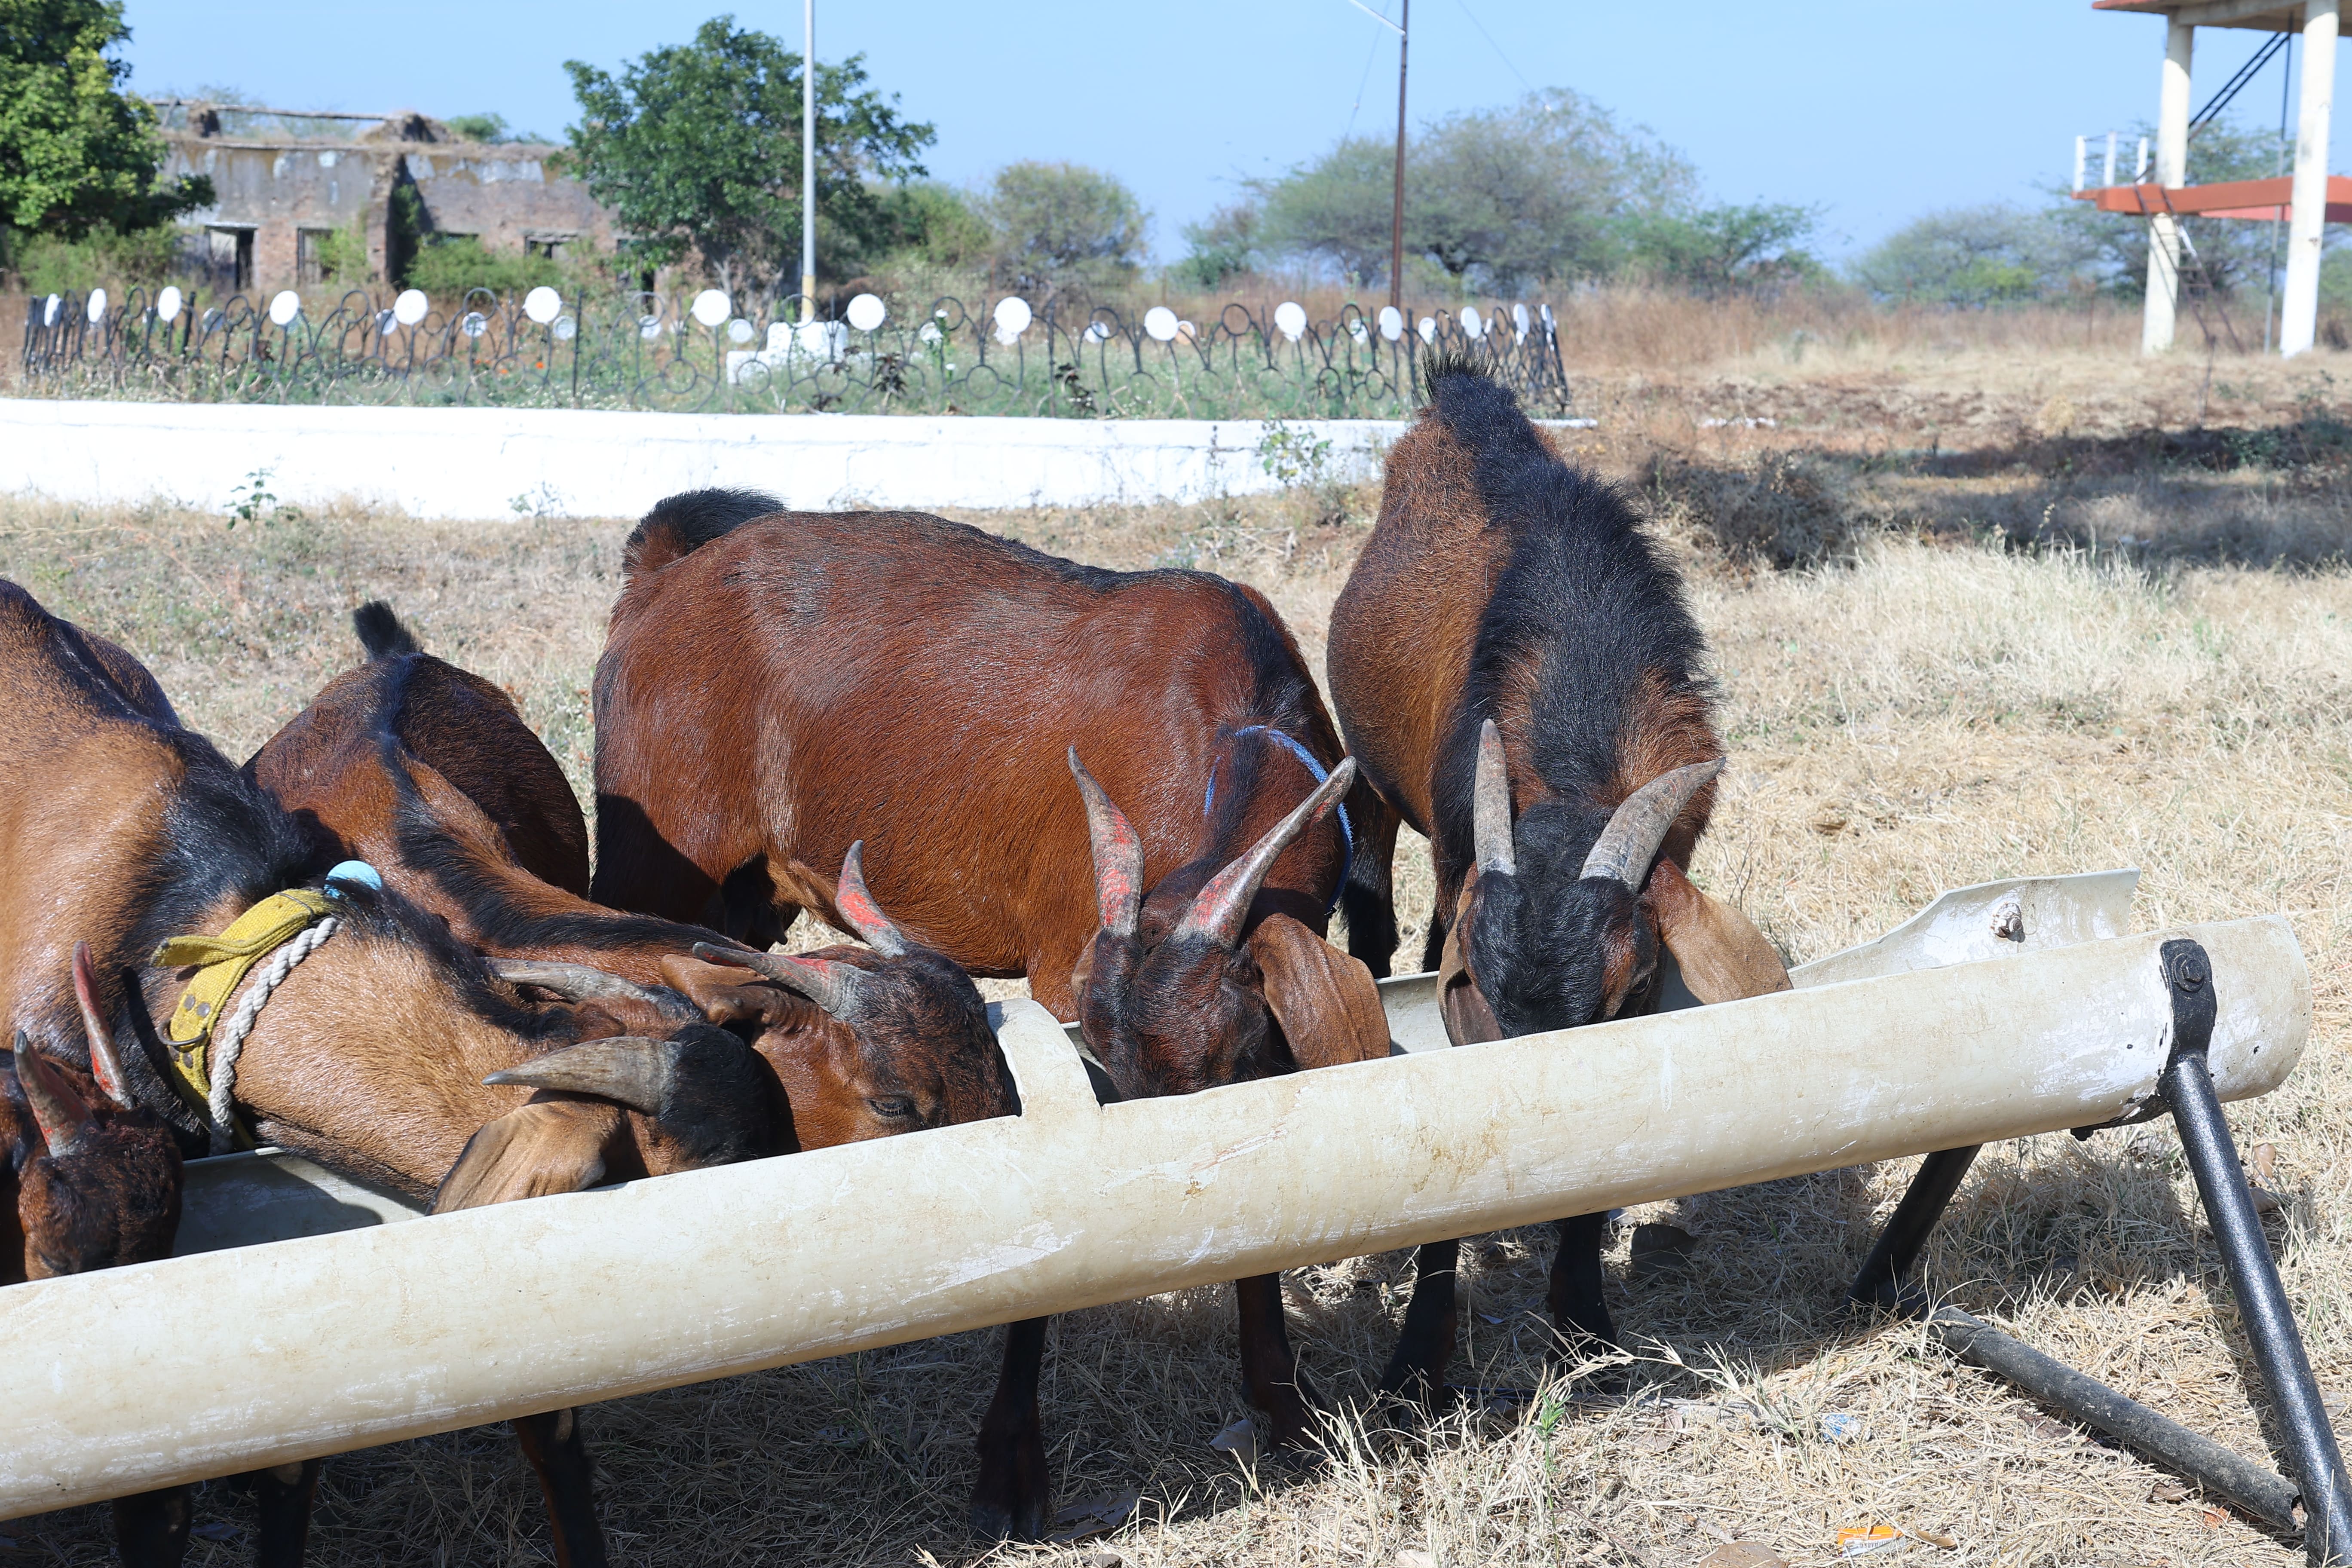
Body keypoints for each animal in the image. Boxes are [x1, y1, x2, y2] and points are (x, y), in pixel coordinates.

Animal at [590, 495, 1395, 1539]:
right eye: (1107, 1062)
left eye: (1234, 1050)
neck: (1234, 725)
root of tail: (661, 579)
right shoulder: (1062, 969)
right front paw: (1010, 1465)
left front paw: (1283, 1405)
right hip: (653, 854)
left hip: (750, 892)